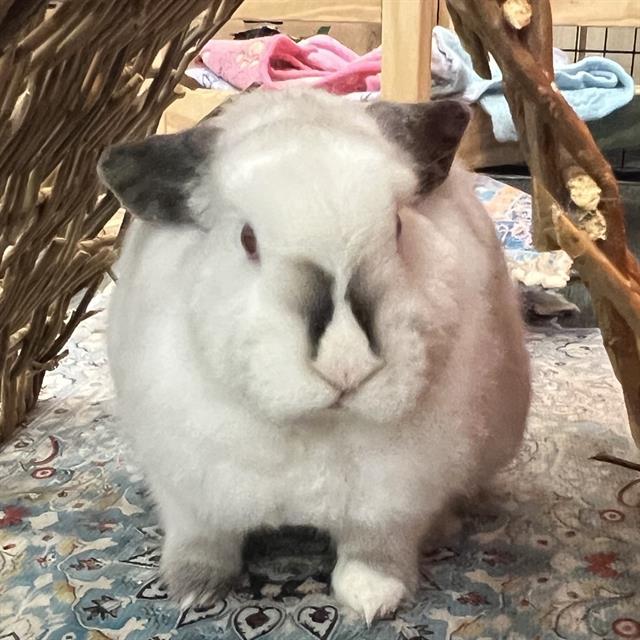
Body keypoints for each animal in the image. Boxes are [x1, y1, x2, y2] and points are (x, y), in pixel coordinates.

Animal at [98, 88, 530, 623]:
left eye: (398, 227)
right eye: (247, 240)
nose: (346, 367)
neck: (318, 428)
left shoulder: (395, 498)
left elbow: (375, 548)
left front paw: (373, 600)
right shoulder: (189, 489)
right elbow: (204, 541)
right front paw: (192, 591)